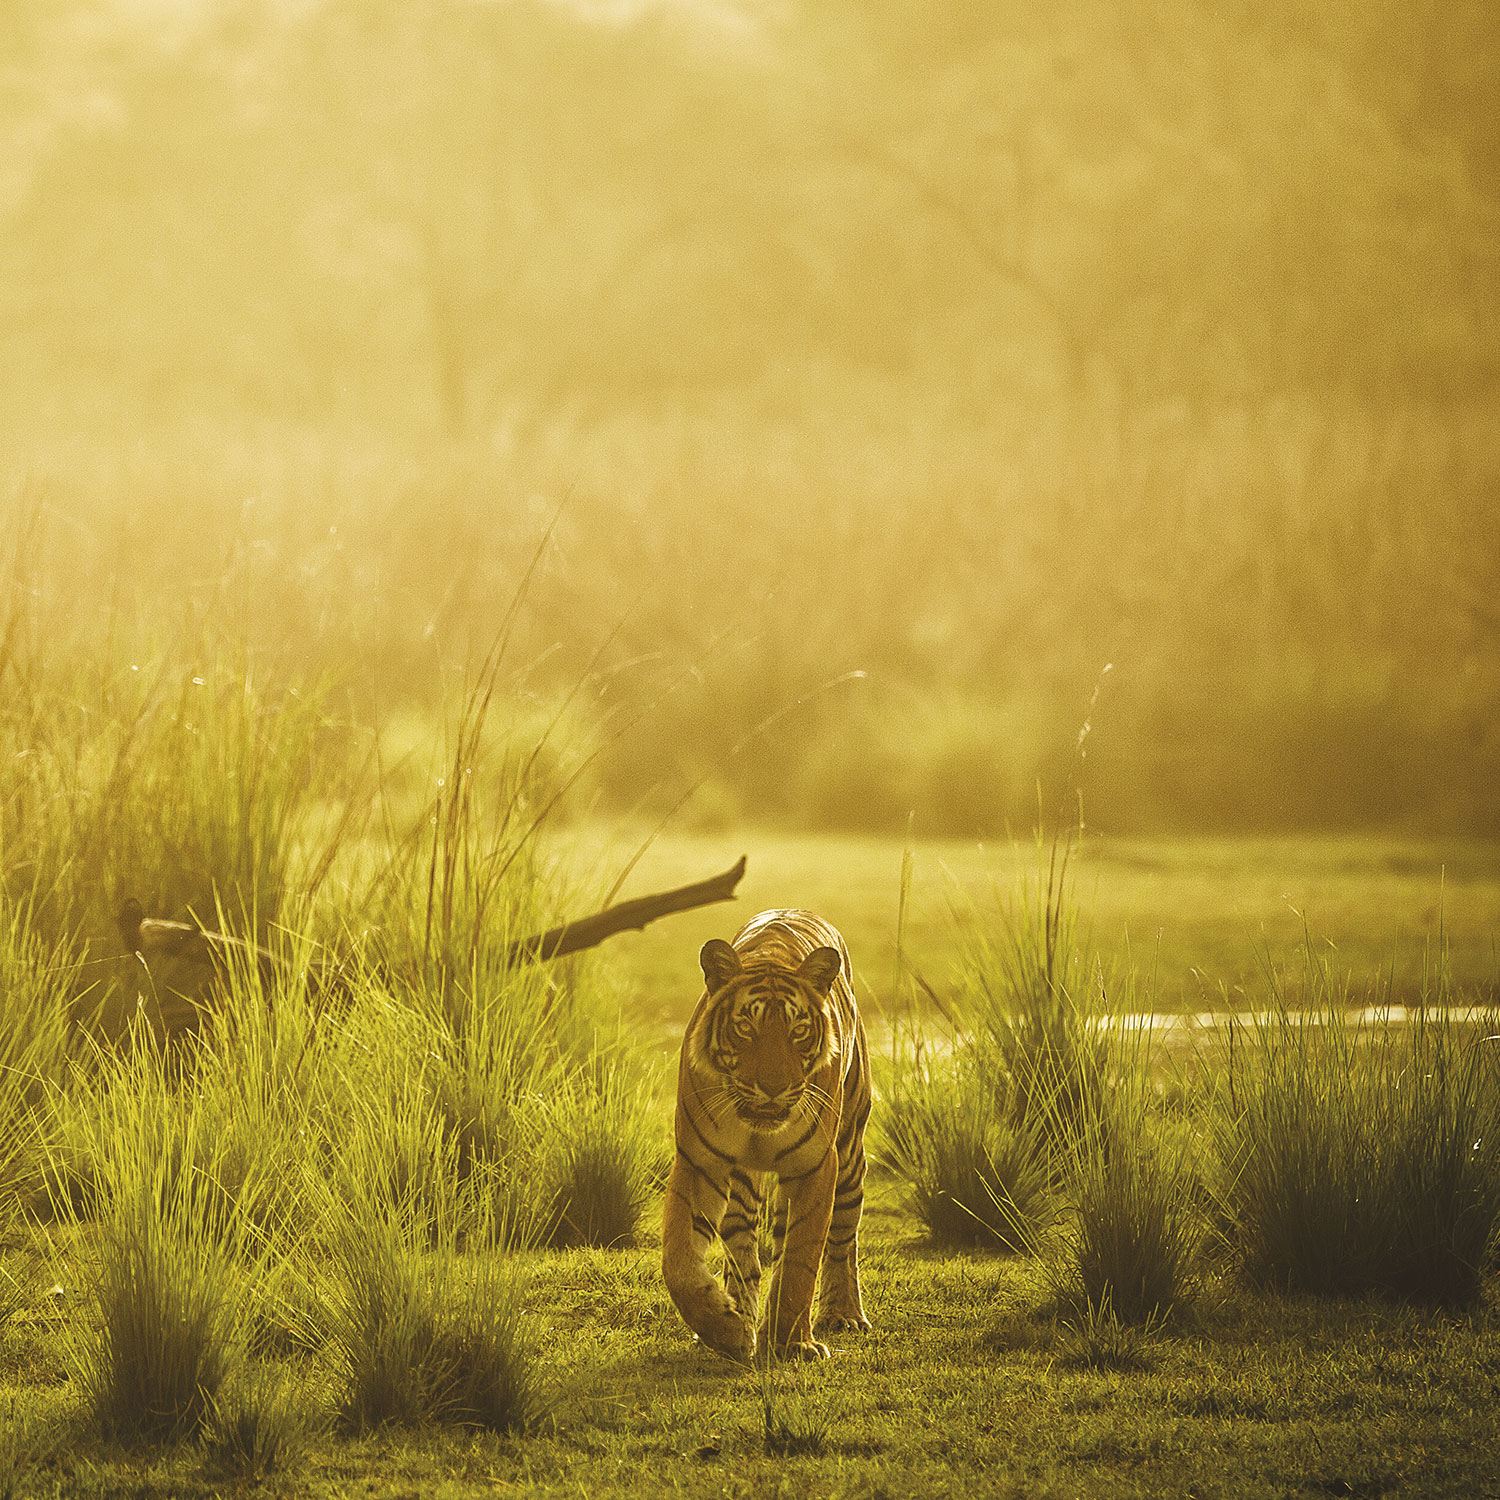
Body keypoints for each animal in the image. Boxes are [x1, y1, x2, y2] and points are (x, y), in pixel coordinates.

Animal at [663, 906, 876, 1368]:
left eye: (798, 1030)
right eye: (746, 1026)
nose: (774, 1088)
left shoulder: (816, 1167)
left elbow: (799, 1261)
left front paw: (792, 1343)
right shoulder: (699, 1163)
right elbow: (679, 1260)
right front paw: (723, 1329)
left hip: (850, 1155)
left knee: (843, 1238)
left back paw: (843, 1314)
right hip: (740, 1188)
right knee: (743, 1257)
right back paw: (739, 1316)